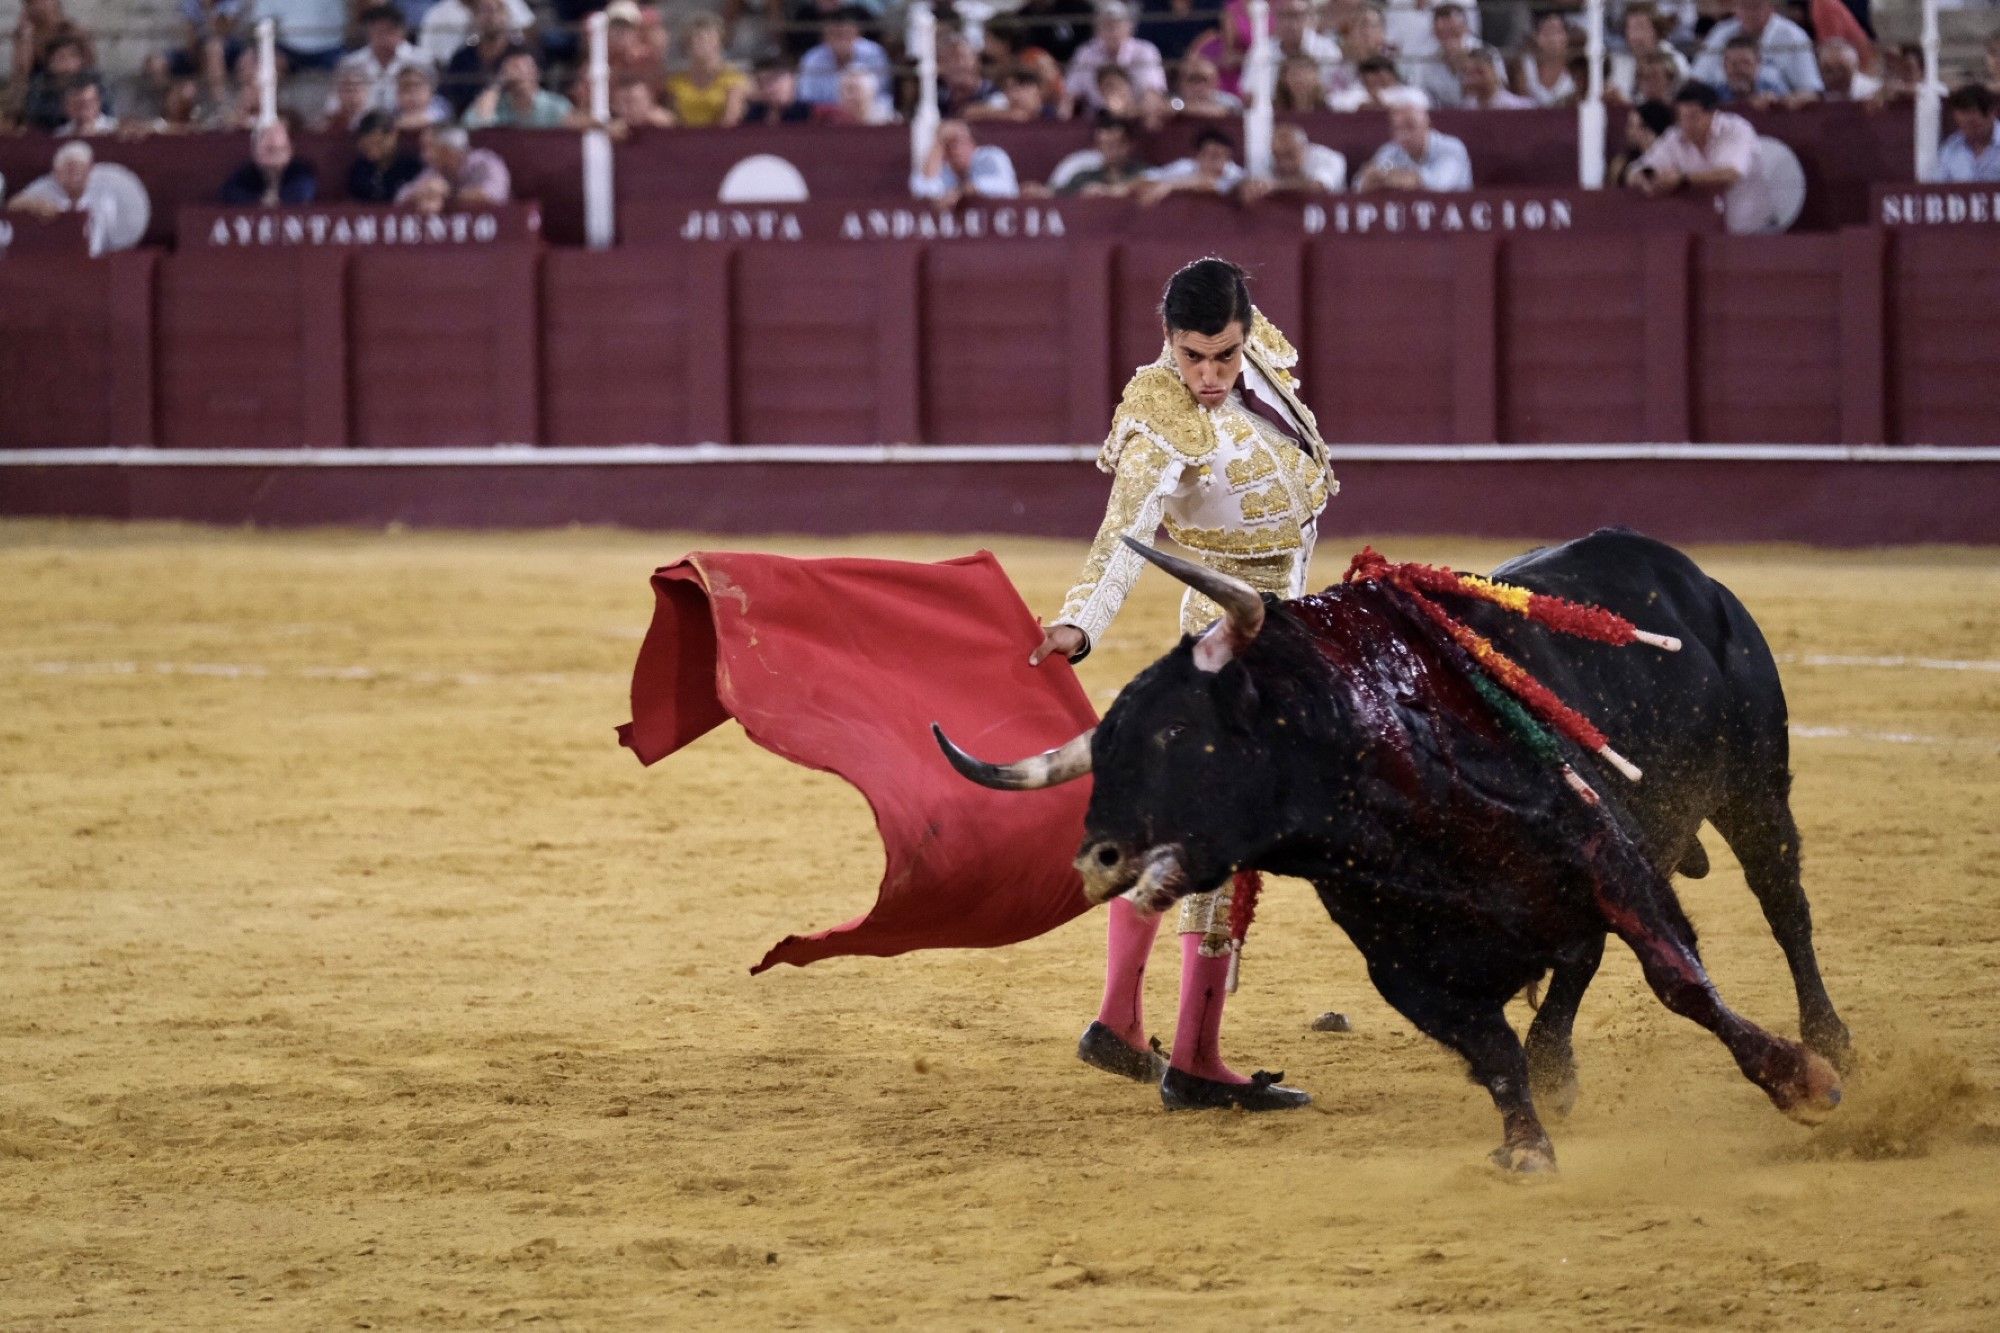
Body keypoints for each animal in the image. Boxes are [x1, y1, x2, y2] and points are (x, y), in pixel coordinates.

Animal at [936, 524, 1840, 1168]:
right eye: (1106, 749)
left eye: (1178, 731)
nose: (1097, 858)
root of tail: (1687, 573)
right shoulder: (1402, 962)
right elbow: (1493, 1046)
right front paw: (1526, 1139)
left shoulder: (1606, 855)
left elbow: (1680, 979)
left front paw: (1801, 1080)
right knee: (1577, 963)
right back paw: (1557, 1065)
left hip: (1756, 787)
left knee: (1785, 906)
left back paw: (1831, 1038)